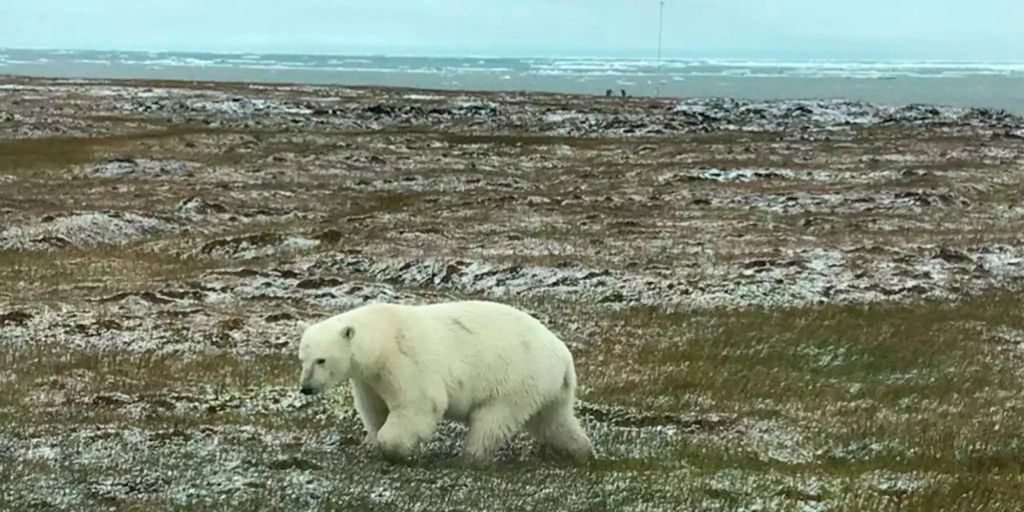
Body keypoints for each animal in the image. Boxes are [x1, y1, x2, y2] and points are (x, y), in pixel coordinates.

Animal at [294, 299, 593, 466]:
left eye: (321, 360)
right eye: (302, 359)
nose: (306, 388)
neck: (380, 337)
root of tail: (564, 358)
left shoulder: (402, 360)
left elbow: (419, 403)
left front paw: (395, 450)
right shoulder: (368, 379)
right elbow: (374, 409)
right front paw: (374, 443)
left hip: (515, 380)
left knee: (491, 420)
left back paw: (469, 458)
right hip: (545, 387)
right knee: (553, 421)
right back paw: (581, 452)